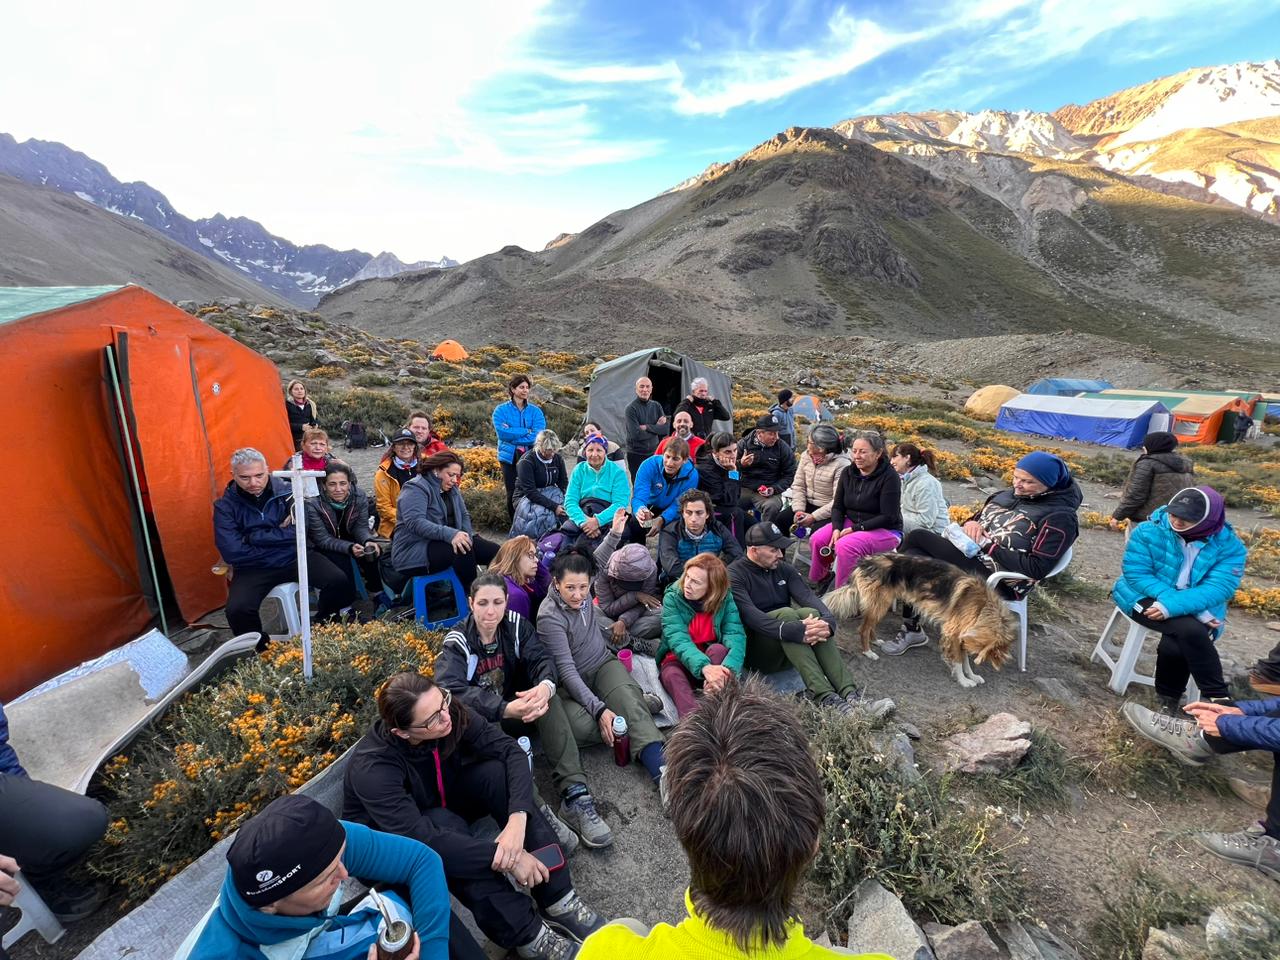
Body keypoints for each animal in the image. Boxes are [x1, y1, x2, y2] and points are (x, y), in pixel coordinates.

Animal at [824, 552, 1013, 686]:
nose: (996, 665)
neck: (982, 607)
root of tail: (866, 562)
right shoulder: (953, 633)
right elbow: (959, 661)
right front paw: (964, 681)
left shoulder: (963, 635)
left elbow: (965, 661)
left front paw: (972, 676)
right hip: (880, 603)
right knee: (863, 628)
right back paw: (868, 652)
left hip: (880, 605)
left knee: (869, 627)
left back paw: (876, 641)